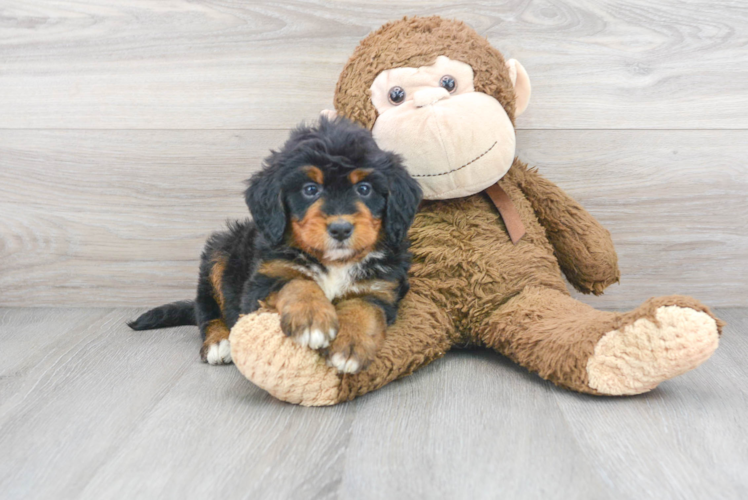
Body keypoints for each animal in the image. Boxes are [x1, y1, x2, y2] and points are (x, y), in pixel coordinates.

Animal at [128, 117, 420, 374]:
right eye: (310, 189)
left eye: (364, 189)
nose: (340, 229)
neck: (333, 262)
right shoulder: (262, 280)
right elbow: (296, 281)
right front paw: (312, 319)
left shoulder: (381, 289)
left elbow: (363, 308)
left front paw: (349, 348)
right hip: (218, 254)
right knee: (206, 309)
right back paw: (218, 342)